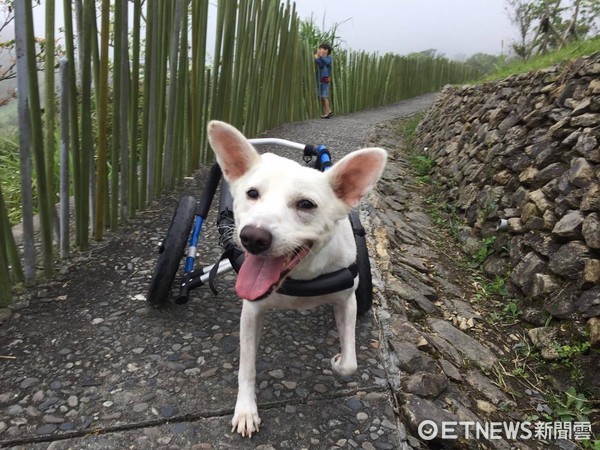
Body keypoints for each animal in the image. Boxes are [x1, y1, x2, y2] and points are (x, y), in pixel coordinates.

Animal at [206, 121, 386, 438]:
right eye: (252, 193)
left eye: (306, 204)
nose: (253, 237)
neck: (299, 274)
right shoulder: (251, 311)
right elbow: (246, 366)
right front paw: (246, 410)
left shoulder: (347, 301)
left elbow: (351, 363)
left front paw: (338, 361)